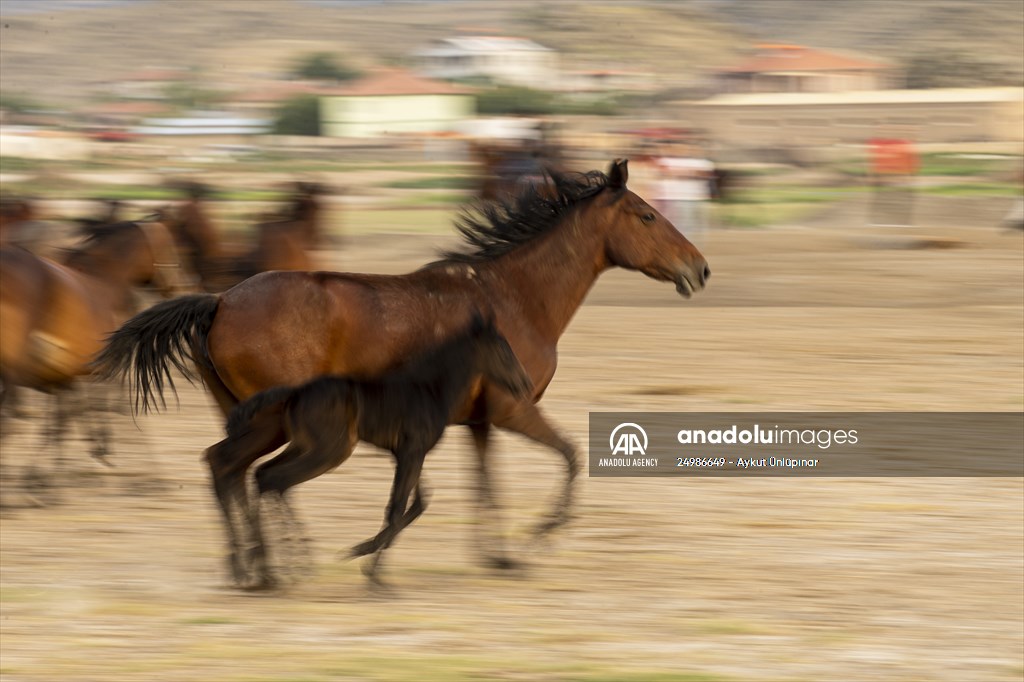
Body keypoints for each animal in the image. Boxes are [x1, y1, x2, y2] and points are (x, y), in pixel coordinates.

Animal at [0, 219, 184, 482]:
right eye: (170, 246)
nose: (175, 285)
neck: (103, 281)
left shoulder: (64, 374)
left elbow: (66, 416)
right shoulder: (95, 368)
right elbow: (86, 409)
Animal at [206, 312, 534, 588]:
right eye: (503, 349)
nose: (525, 385)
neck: (430, 389)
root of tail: (296, 391)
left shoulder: (404, 453)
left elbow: (416, 503)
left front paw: (361, 553)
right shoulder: (413, 451)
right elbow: (398, 506)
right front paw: (373, 573)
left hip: (305, 445)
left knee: (261, 474)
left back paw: (269, 569)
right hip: (331, 450)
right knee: (273, 478)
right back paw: (287, 564)